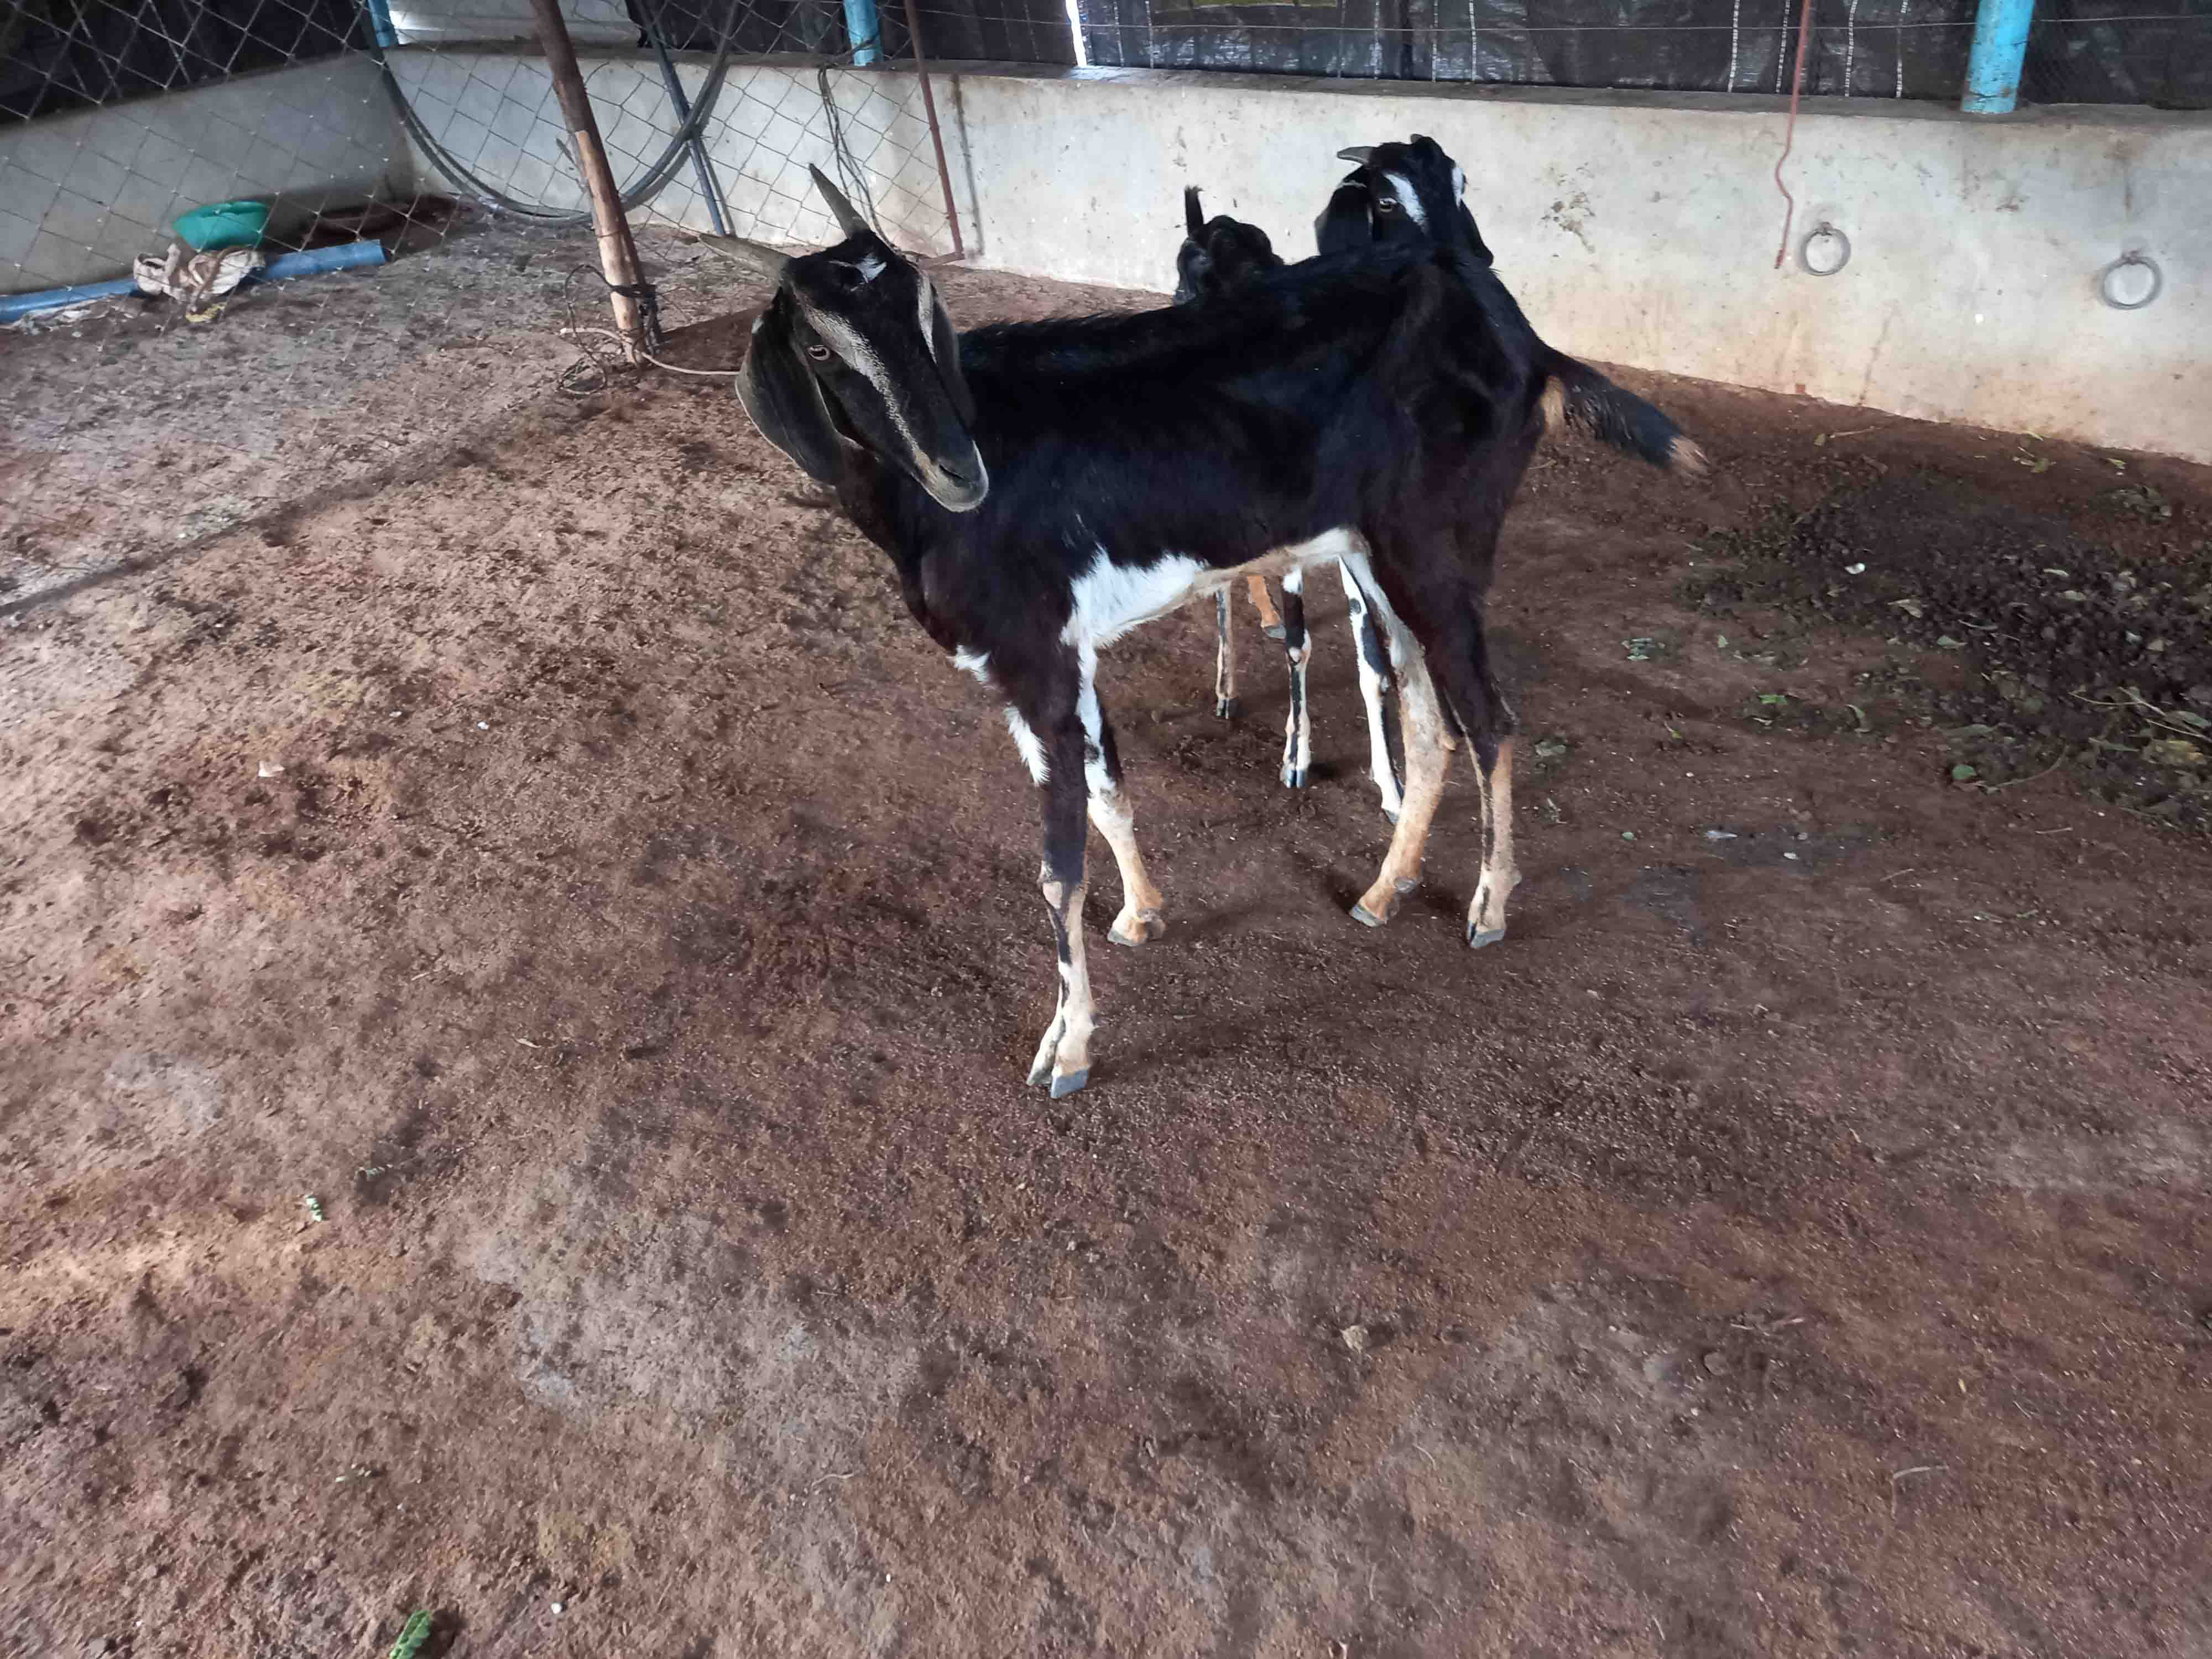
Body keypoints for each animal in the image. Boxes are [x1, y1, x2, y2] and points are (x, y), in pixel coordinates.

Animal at [712, 166, 1704, 1096]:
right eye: (818, 345)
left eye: (926, 313)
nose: (962, 468)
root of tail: (1518, 334)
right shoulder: (1069, 657)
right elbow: (1111, 789)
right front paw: (1143, 914)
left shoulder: (1031, 661)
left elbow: (1056, 866)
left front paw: (1067, 1050)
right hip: (1381, 558)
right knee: (1432, 727)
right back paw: (1385, 891)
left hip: (1435, 550)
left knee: (1490, 721)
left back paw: (1488, 911)